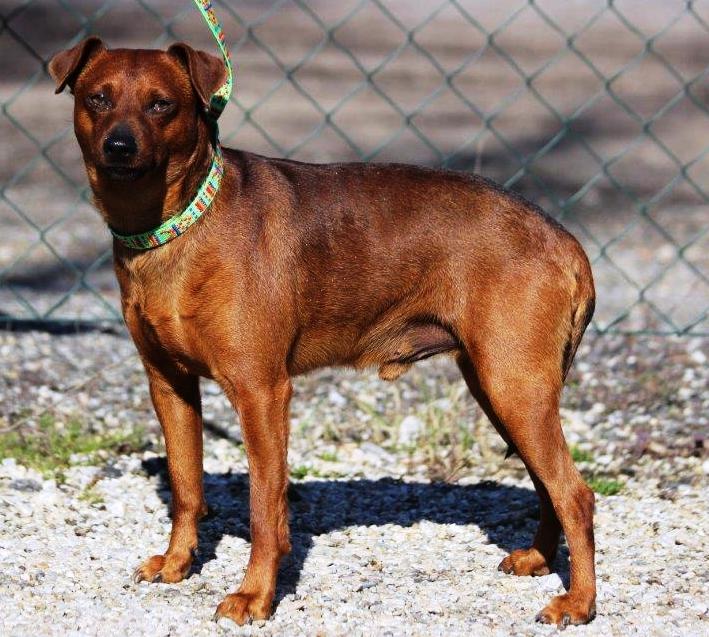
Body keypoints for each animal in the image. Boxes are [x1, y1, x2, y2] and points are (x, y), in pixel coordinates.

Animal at [49, 37, 597, 627]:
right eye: (97, 98)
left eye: (161, 105)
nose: (119, 145)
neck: (177, 226)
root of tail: (565, 241)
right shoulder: (169, 384)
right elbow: (186, 486)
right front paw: (177, 563)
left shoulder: (261, 393)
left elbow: (265, 509)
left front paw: (255, 596)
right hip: (500, 389)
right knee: (548, 486)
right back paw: (540, 560)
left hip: (514, 387)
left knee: (575, 494)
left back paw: (579, 601)